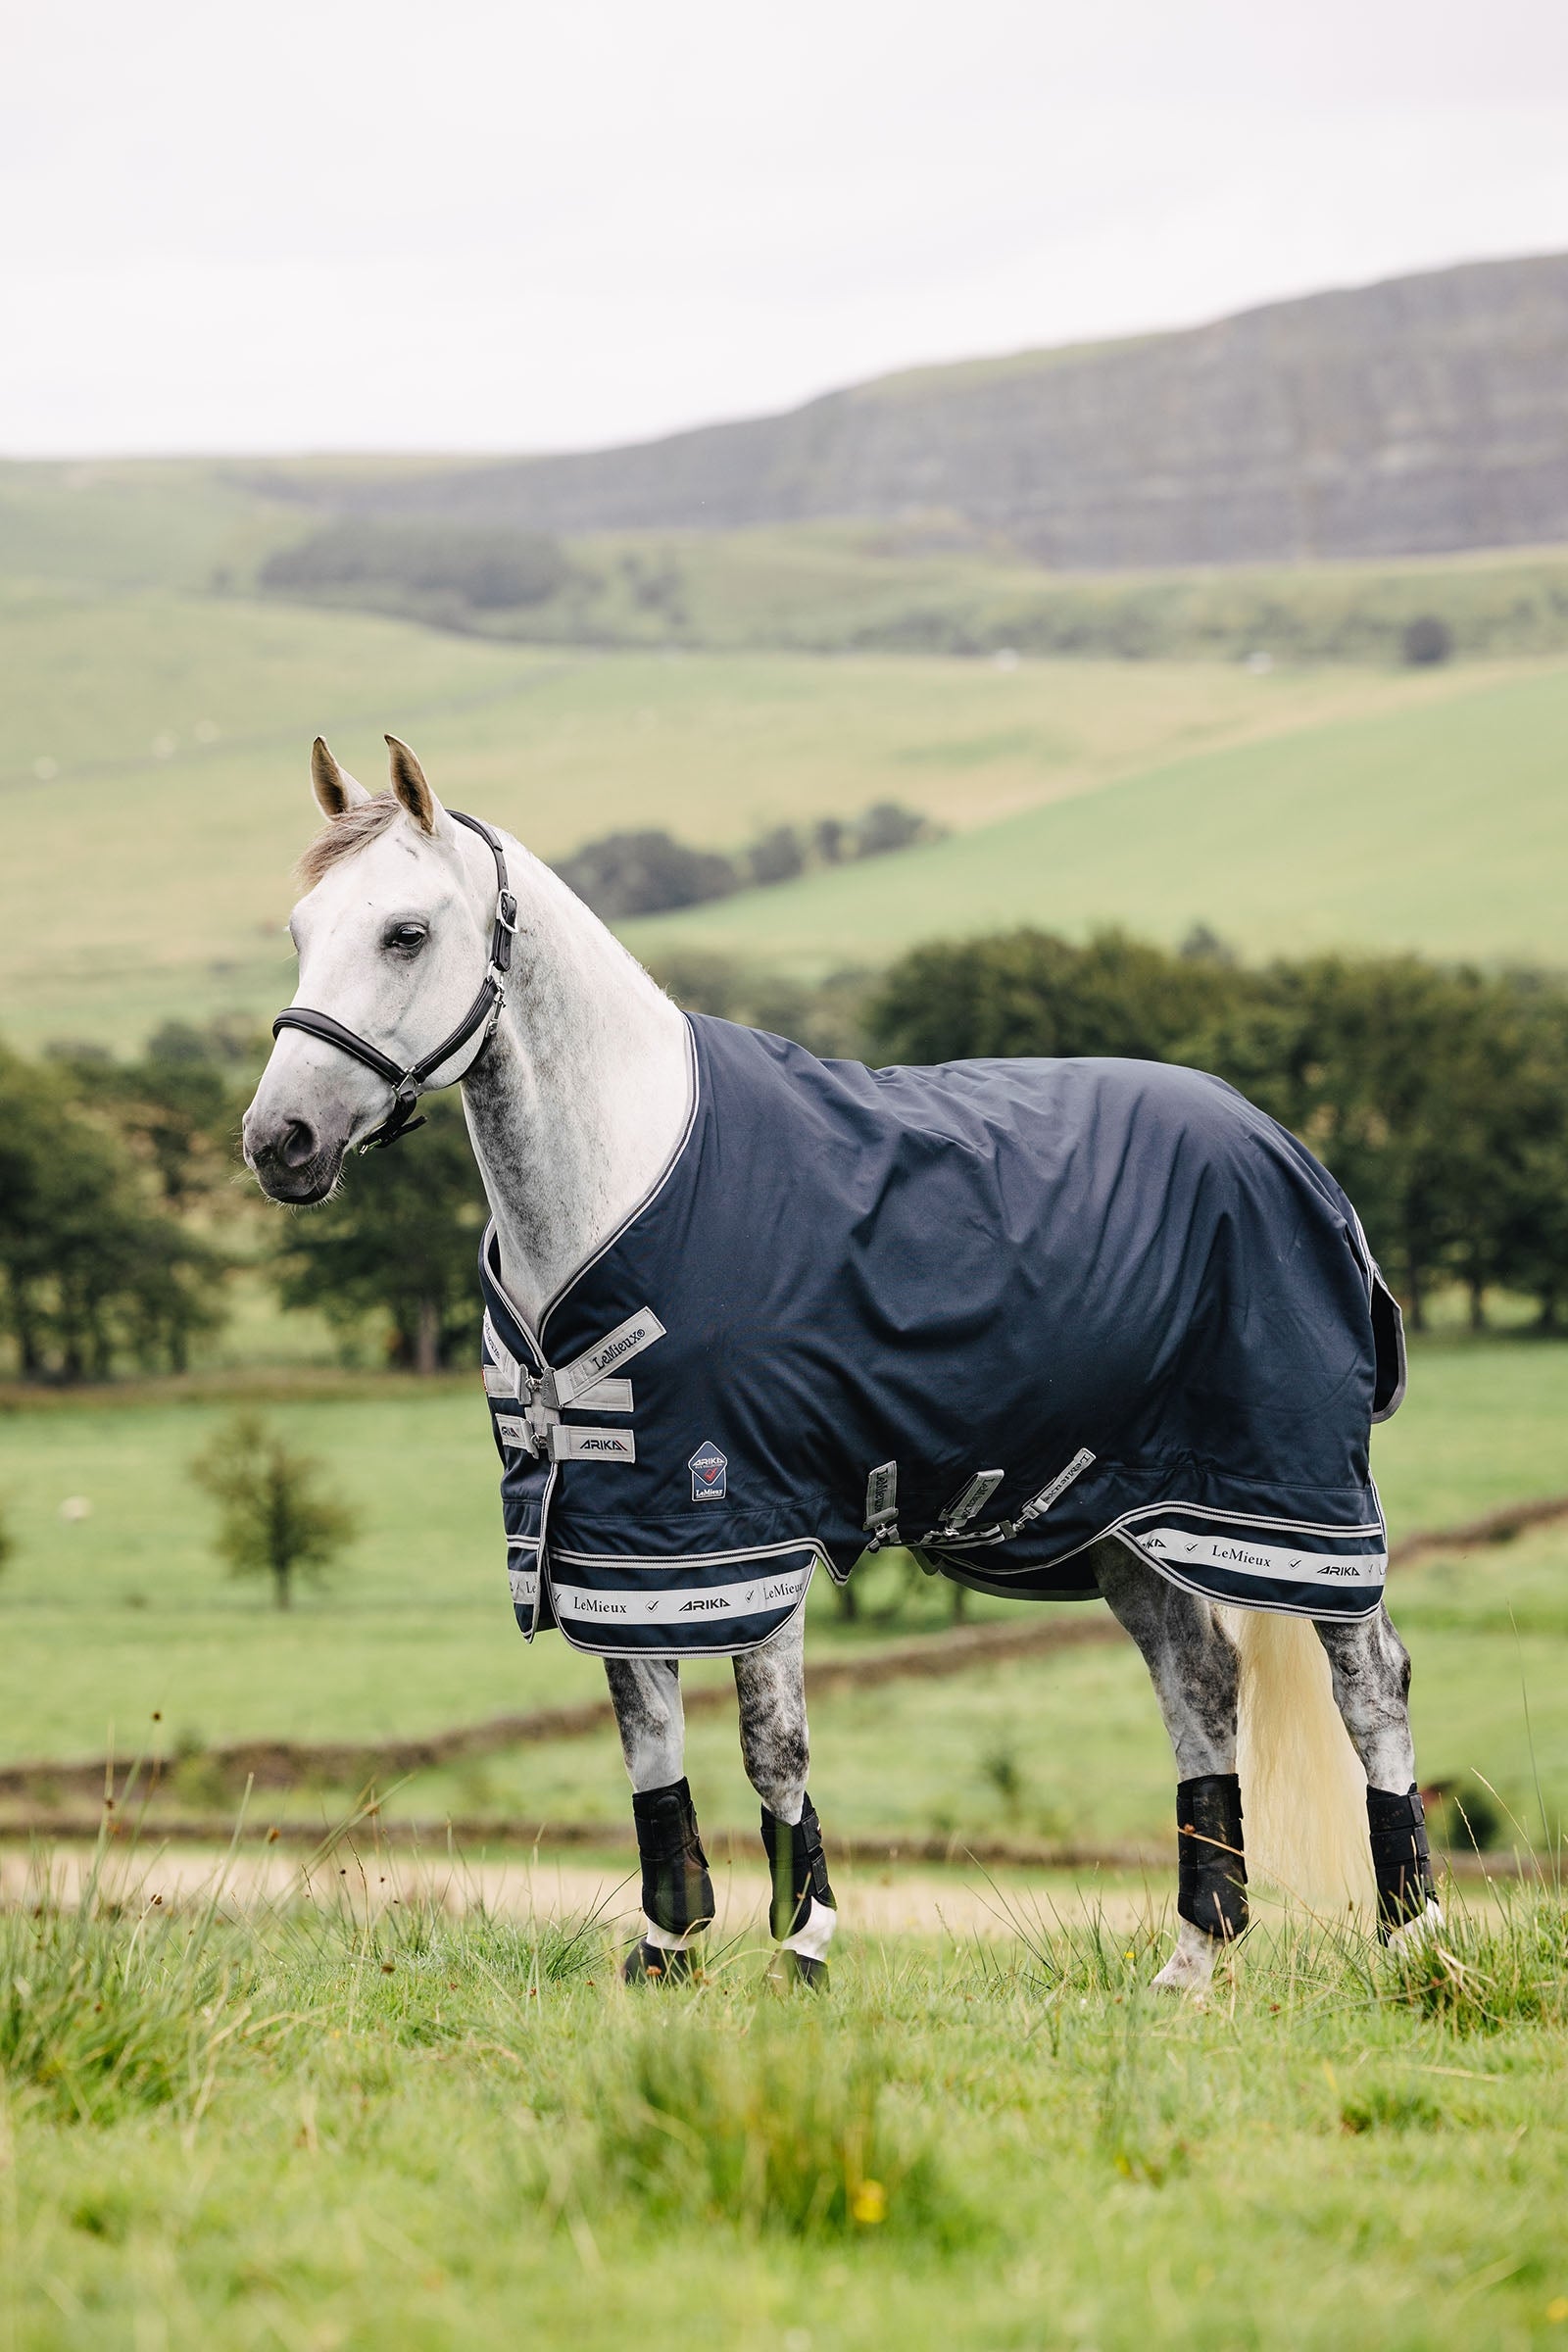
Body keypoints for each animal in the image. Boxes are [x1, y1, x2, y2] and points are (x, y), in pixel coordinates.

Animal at [243, 733, 1441, 1993]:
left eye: (406, 933)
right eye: (300, 928)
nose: (278, 1144)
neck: (619, 1178)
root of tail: (1286, 1149)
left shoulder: (741, 1523)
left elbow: (773, 1743)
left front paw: (803, 1946)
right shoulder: (617, 1536)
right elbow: (646, 1739)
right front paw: (667, 1947)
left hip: (1299, 1494)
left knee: (1370, 1681)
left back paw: (1414, 1942)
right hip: (1128, 1517)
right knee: (1200, 1688)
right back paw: (1193, 1958)